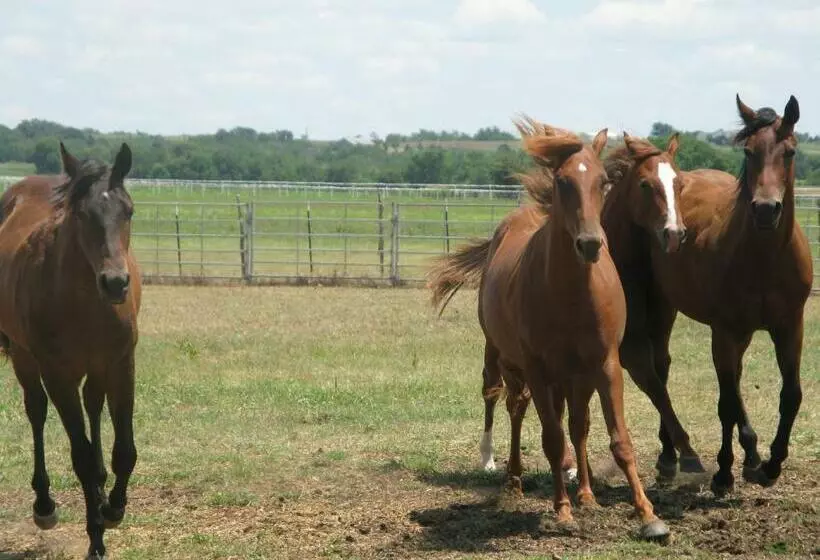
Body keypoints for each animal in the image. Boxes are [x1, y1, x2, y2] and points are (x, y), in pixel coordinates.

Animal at [0, 142, 141, 559]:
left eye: (128, 211)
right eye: (81, 213)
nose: (115, 283)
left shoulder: (121, 364)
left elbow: (125, 450)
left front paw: (113, 508)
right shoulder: (57, 374)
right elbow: (80, 456)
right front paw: (96, 536)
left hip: (95, 369)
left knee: (93, 406)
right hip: (25, 358)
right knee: (36, 410)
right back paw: (44, 505)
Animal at [428, 118, 669, 540]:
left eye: (604, 181)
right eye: (563, 181)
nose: (590, 243)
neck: (571, 293)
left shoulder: (605, 365)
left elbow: (616, 439)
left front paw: (646, 513)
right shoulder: (538, 370)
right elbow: (552, 440)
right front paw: (562, 511)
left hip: (572, 377)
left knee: (575, 424)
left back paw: (585, 492)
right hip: (505, 357)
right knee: (509, 404)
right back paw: (508, 475)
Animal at [609, 94, 812, 494]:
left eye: (791, 151)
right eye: (749, 151)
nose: (766, 209)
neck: (764, 259)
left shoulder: (789, 327)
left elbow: (791, 395)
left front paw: (770, 465)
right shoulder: (724, 331)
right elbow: (726, 403)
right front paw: (723, 473)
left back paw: (747, 457)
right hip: (664, 307)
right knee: (661, 369)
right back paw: (671, 458)